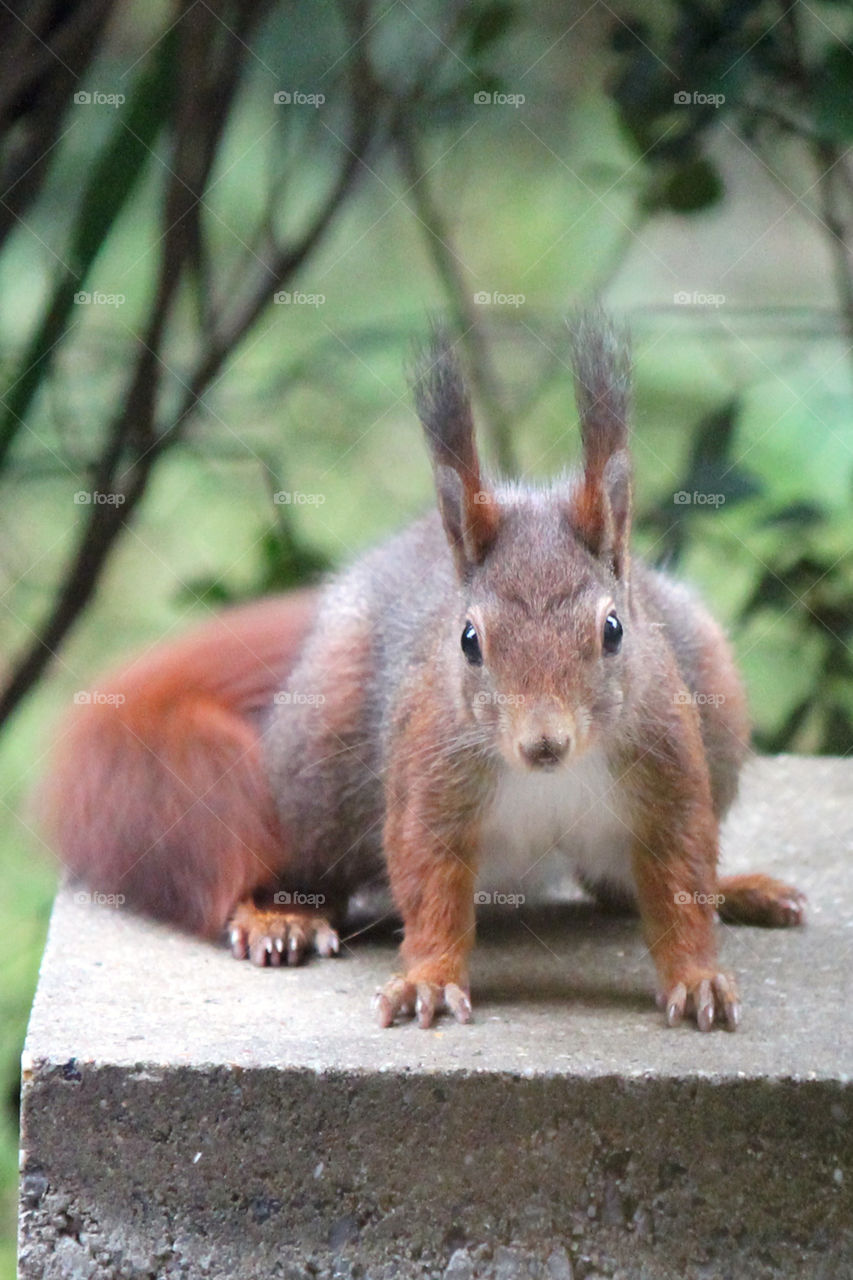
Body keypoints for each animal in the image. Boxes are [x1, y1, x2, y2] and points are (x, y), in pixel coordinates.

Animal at [41, 310, 805, 1032]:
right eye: (468, 641)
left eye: (614, 630)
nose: (544, 743)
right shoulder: (428, 768)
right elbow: (427, 875)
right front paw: (430, 978)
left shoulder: (668, 762)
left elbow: (680, 873)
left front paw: (697, 976)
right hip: (317, 774)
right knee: (283, 874)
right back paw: (274, 917)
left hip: (713, 694)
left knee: (614, 886)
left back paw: (739, 890)